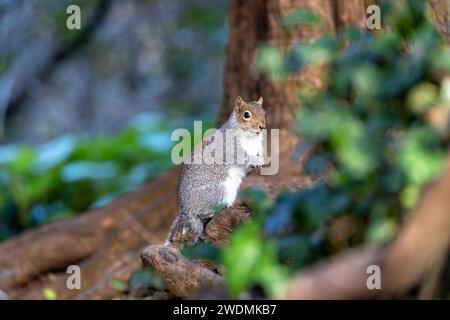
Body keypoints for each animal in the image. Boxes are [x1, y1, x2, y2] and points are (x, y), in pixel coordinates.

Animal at [165, 95, 266, 248]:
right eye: (246, 115)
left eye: (264, 112)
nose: (262, 127)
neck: (250, 137)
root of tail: (186, 210)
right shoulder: (228, 147)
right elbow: (239, 156)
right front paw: (253, 159)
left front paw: (261, 160)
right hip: (219, 190)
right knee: (204, 212)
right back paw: (225, 207)